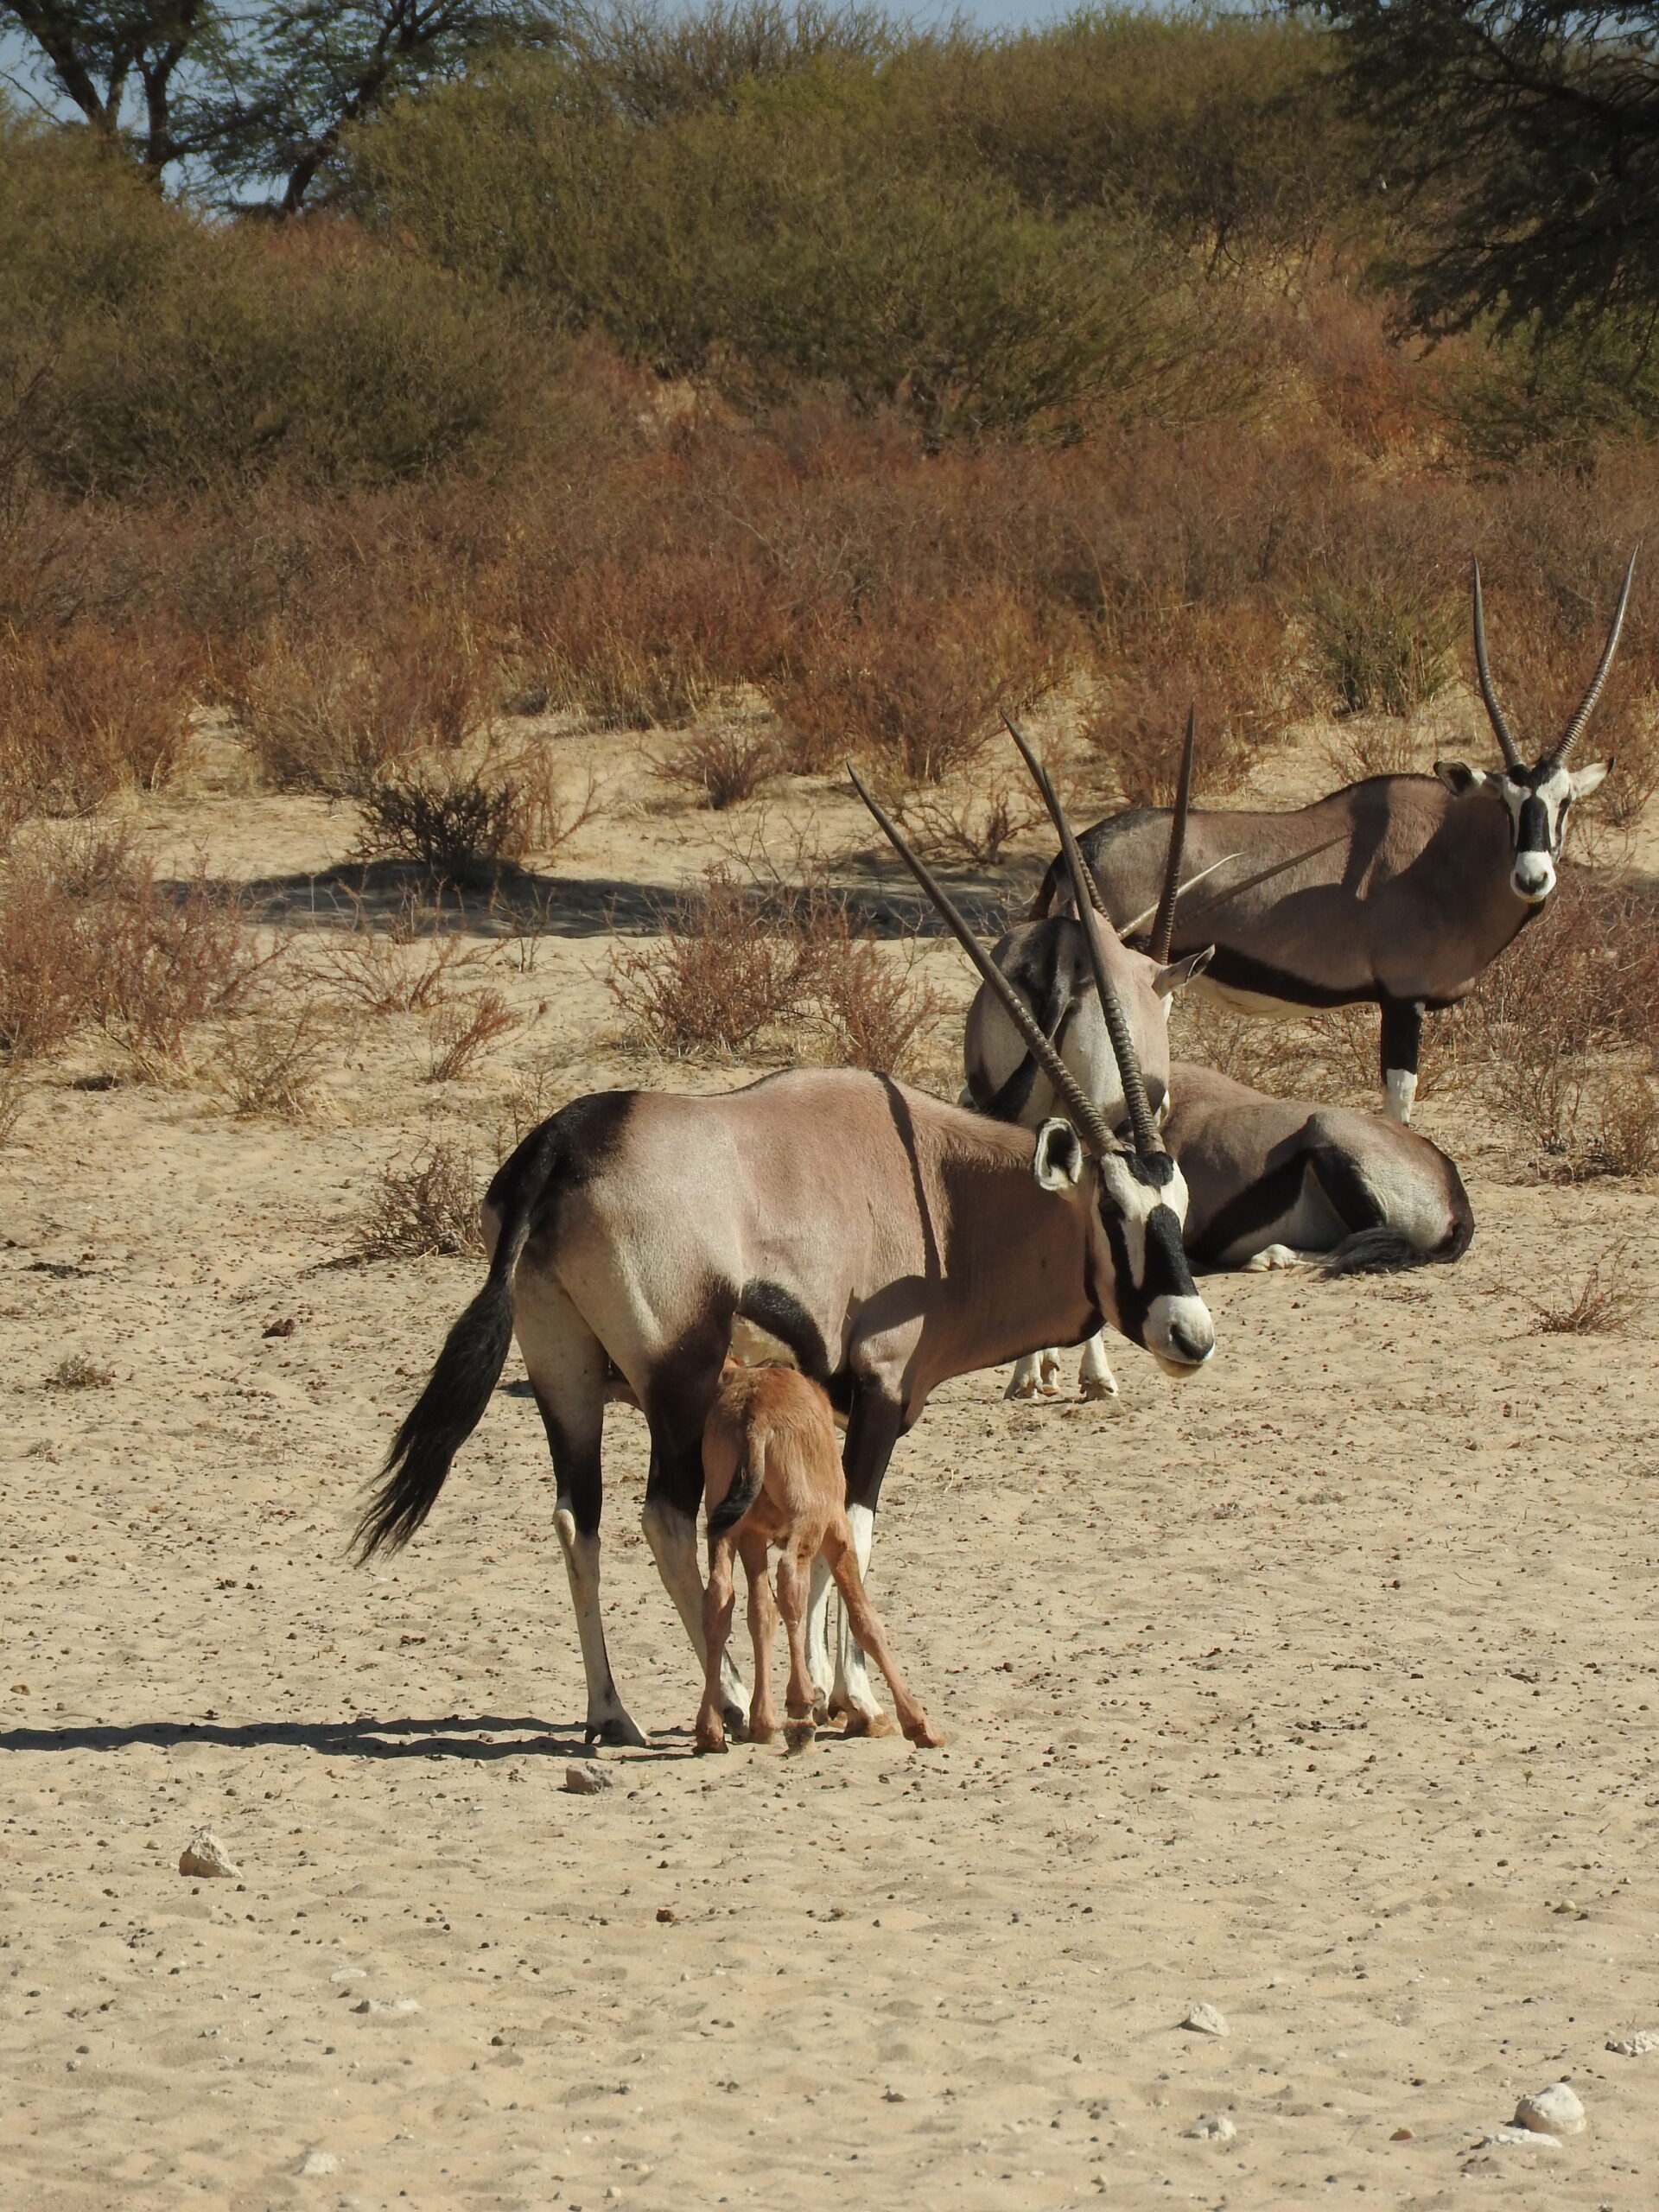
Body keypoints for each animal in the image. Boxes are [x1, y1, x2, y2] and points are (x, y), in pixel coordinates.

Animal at [694, 1353, 942, 1751]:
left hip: (723, 1524)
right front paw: (916, 1722)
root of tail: (754, 1415)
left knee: (719, 1597)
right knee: (791, 1579)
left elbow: (760, 1613)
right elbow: (865, 1620)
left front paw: (762, 1722)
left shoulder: (752, 1536)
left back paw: (710, 1729)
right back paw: (800, 1710)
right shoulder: (838, 1532)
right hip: (808, 1520)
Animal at [1035, 557, 1645, 1123]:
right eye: (1506, 803)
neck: (1446, 855)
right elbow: (1399, 1106)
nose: (1532, 876)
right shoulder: (1403, 1000)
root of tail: (1080, 849)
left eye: (1565, 801)